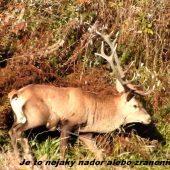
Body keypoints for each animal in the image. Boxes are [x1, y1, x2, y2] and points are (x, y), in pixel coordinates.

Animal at [7, 30, 153, 162]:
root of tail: (17, 94)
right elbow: (63, 149)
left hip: (18, 117)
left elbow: (99, 155)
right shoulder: (68, 122)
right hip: (36, 116)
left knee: (11, 131)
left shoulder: (84, 132)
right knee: (17, 131)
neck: (95, 114)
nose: (149, 119)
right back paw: (26, 155)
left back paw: (19, 156)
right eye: (135, 105)